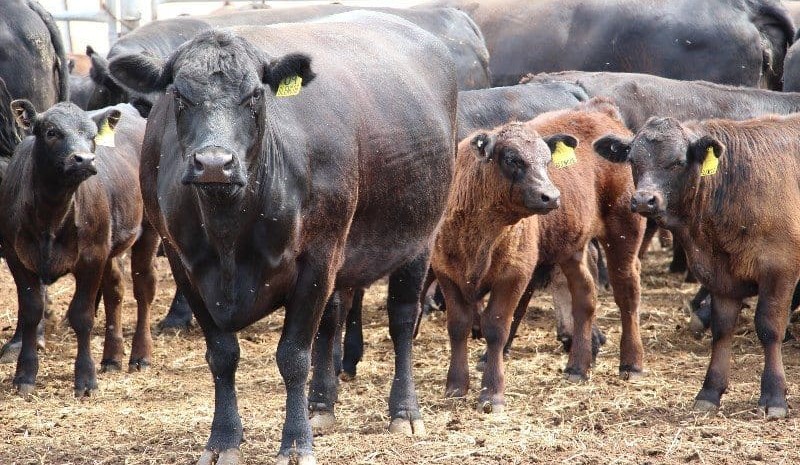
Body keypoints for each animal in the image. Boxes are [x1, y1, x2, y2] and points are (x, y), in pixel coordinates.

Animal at [0, 101, 157, 397]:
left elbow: (82, 316)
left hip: (148, 232)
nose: (84, 159)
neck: (51, 216)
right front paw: (25, 375)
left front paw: (86, 379)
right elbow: (31, 312)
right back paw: (112, 358)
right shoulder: (17, 257)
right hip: (110, 247)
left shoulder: (91, 257)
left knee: (143, 290)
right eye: (51, 132)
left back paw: (140, 356)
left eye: (92, 135)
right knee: (115, 291)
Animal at [108, 11, 456, 464]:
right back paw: (321, 407)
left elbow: (293, 357)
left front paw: (295, 442)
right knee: (332, 321)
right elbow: (222, 356)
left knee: (401, 319)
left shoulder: (317, 259)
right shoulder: (185, 265)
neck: (228, 236)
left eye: (255, 96)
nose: (214, 164)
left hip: (417, 240)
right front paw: (222, 440)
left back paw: (404, 412)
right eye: (180, 97)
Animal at [432, 99, 644, 413]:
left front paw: (492, 393)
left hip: (624, 233)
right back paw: (577, 367)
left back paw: (631, 363)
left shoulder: (514, 275)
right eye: (512, 159)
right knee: (584, 296)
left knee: (626, 293)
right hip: (572, 247)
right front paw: (456, 386)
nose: (552, 196)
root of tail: (600, 111)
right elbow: (458, 326)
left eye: (546, 161)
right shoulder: (445, 272)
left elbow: (496, 328)